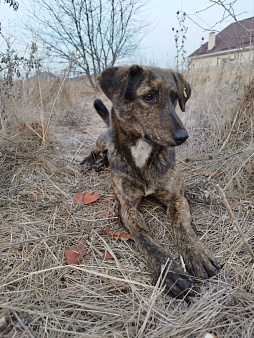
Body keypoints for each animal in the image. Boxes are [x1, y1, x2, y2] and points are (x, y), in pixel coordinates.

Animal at [81, 65, 220, 298]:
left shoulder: (177, 198)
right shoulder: (127, 208)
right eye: (148, 96)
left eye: (175, 98)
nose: (183, 136)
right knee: (96, 148)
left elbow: (183, 228)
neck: (142, 148)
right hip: (104, 141)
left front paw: (196, 253)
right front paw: (168, 271)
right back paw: (92, 160)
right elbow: (145, 237)